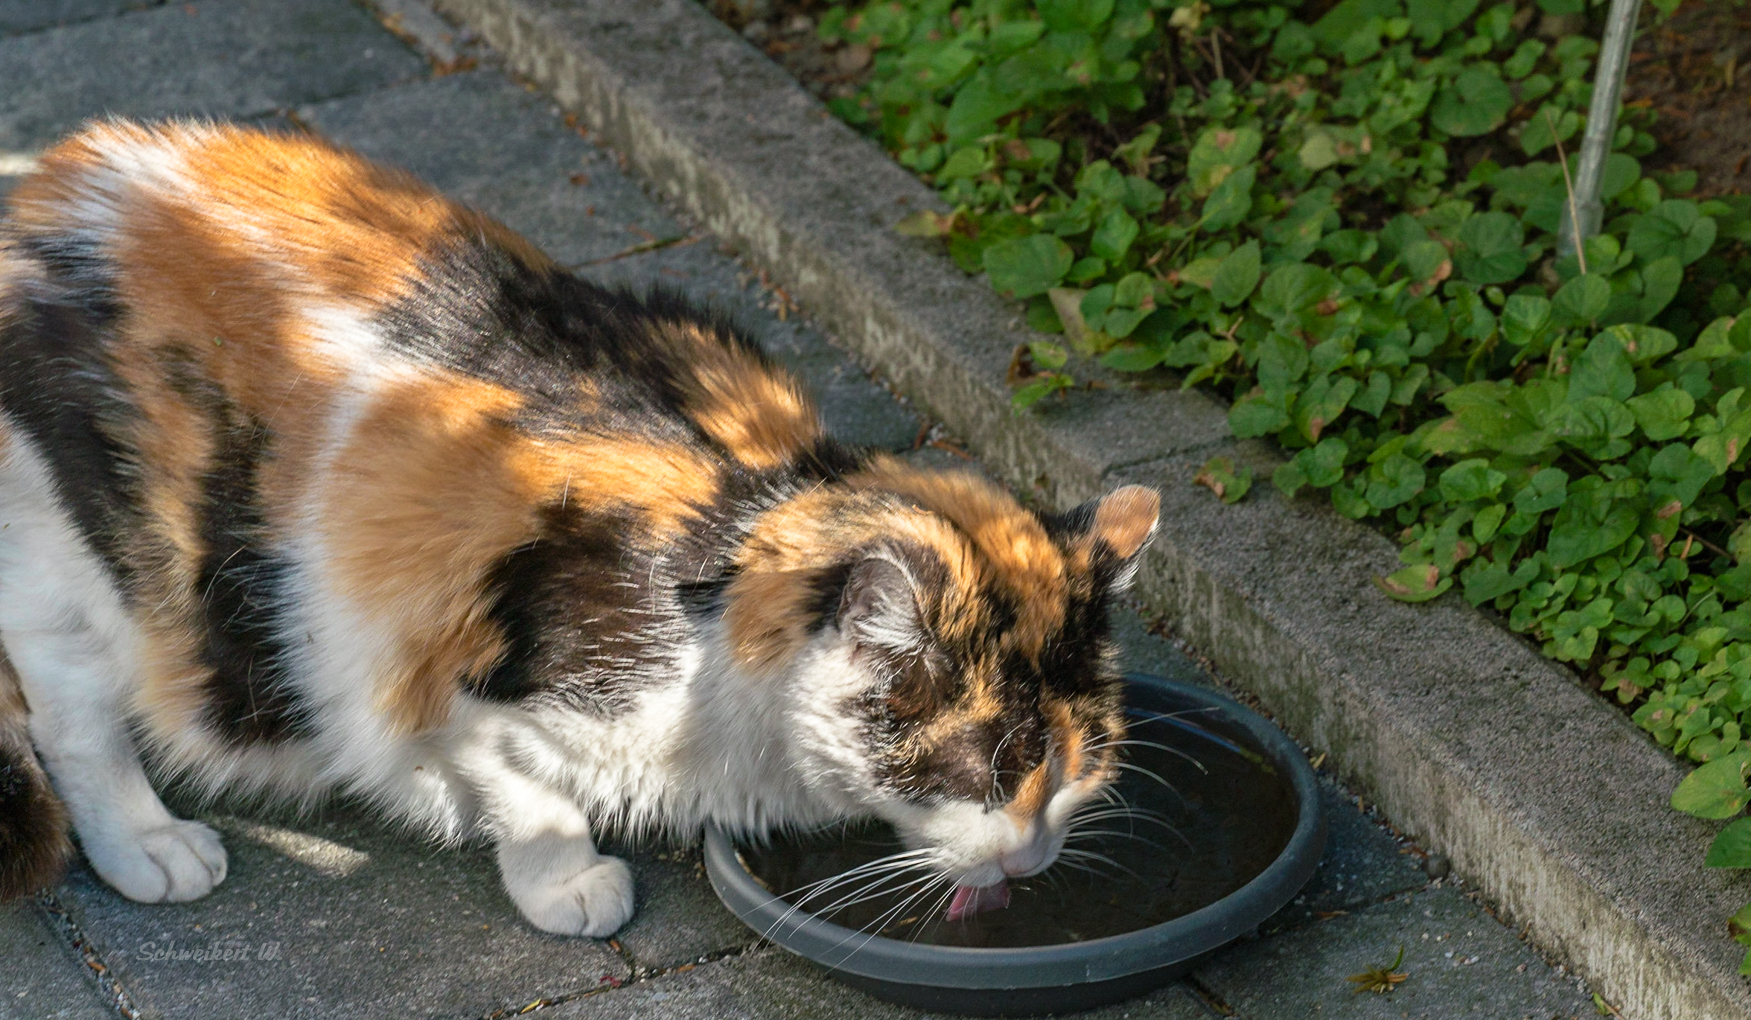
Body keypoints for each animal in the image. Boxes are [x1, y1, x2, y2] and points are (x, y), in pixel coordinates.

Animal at [0, 119, 1162, 930]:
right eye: (987, 770)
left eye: (1080, 770)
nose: (1030, 858)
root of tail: (44, 192)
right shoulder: (438, 672)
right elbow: (529, 793)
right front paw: (569, 887)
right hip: (81, 563)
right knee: (75, 710)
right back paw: (150, 846)